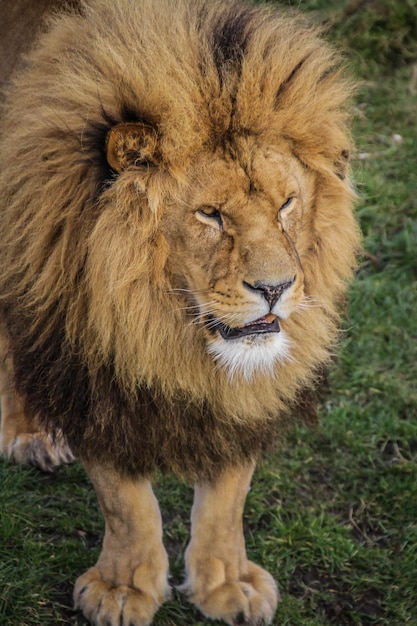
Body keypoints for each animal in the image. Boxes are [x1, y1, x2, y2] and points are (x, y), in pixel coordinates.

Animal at [0, 1, 360, 624]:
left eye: (287, 204)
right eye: (210, 214)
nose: (276, 288)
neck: (163, 322)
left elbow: (229, 494)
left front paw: (227, 583)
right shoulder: (89, 364)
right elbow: (124, 499)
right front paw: (123, 589)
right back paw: (29, 432)